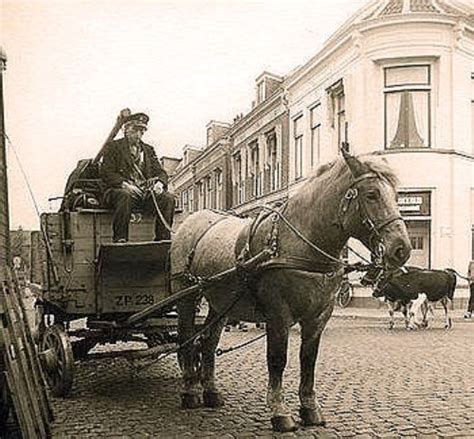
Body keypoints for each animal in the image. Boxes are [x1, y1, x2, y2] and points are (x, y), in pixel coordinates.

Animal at [170, 151, 412, 434]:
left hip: (221, 305)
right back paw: (190, 390)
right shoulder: (278, 314)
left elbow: (308, 360)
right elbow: (278, 359)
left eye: (396, 195)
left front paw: (310, 409)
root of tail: (190, 222)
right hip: (187, 298)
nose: (402, 248)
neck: (299, 244)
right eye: (372, 194)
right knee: (187, 340)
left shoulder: (318, 316)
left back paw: (210, 391)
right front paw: (279, 412)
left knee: (208, 343)